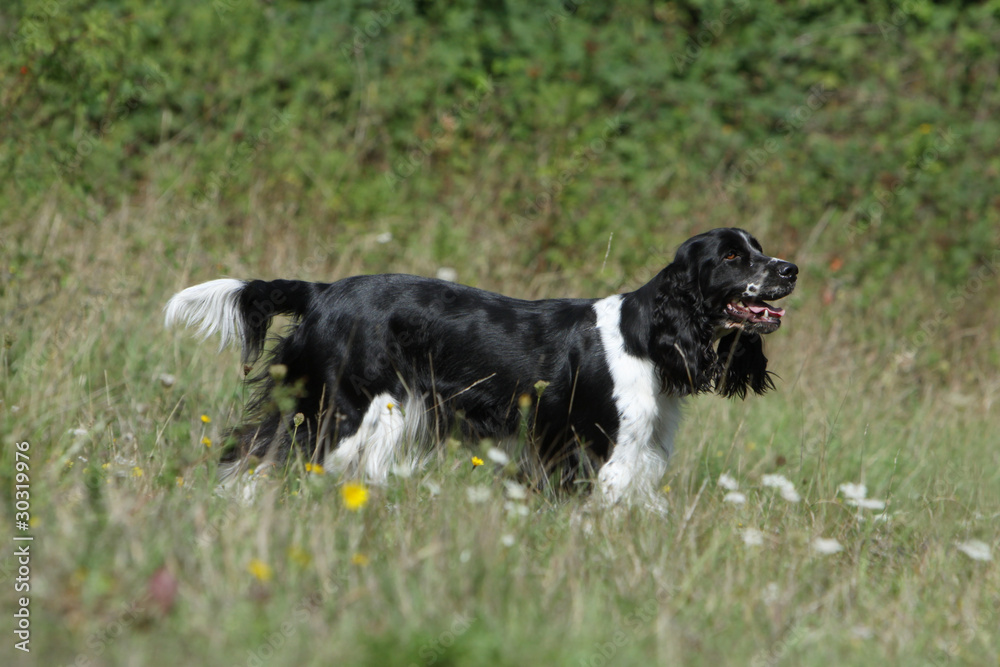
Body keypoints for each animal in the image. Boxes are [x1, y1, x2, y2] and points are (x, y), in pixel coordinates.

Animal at [164, 227, 796, 504]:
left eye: (760, 248)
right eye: (732, 256)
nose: (791, 269)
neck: (649, 337)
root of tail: (320, 292)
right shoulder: (593, 455)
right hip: (344, 411)